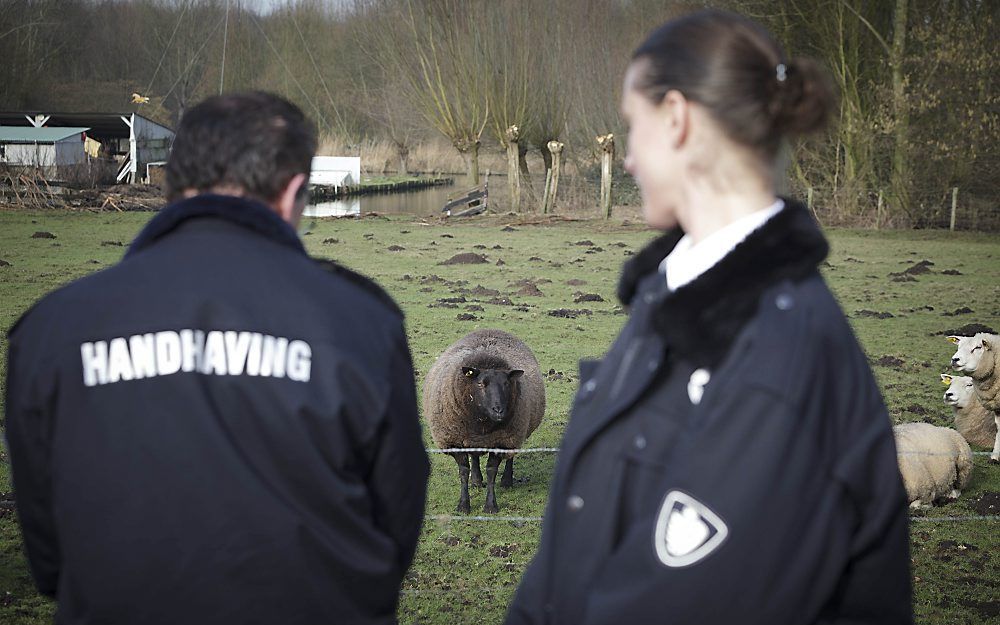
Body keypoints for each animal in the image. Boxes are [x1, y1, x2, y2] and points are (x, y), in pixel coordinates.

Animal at [422, 330, 548, 516]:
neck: (482, 422)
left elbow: (491, 472)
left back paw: (507, 481)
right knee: (474, 456)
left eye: (506, 383)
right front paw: (463, 505)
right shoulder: (455, 441)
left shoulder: (502, 441)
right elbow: (463, 471)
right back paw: (476, 480)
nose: (499, 410)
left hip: (516, 433)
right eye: (481, 383)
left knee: (510, 456)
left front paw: (490, 506)